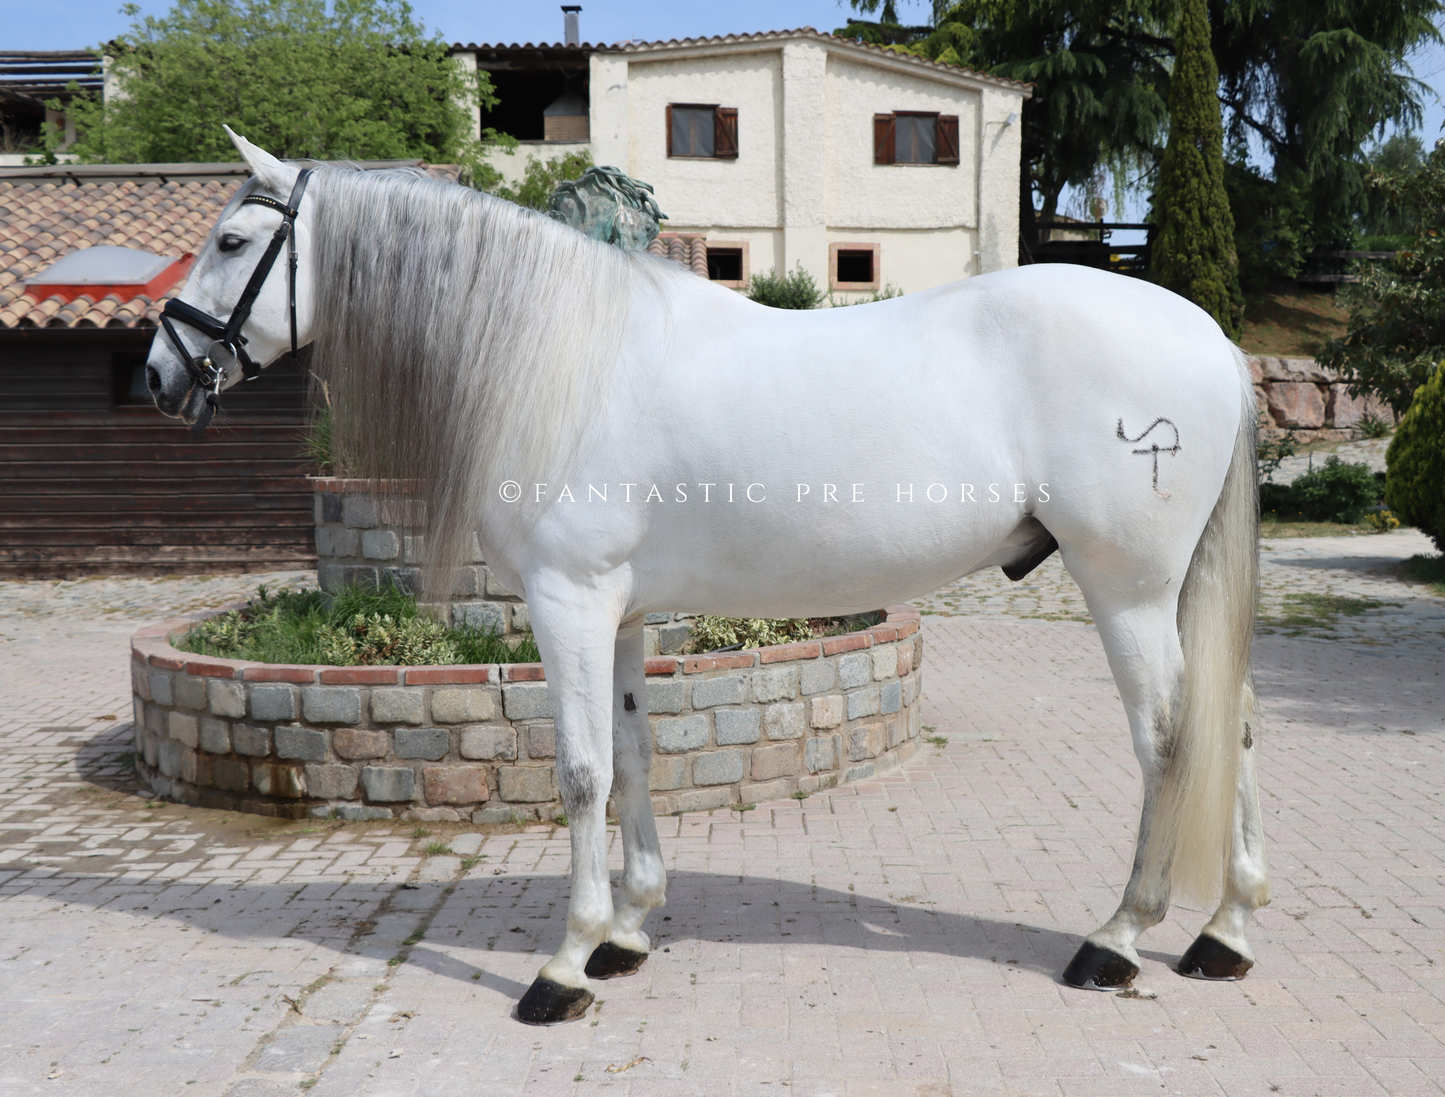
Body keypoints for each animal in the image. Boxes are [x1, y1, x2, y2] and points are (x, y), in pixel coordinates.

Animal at [145, 129, 1267, 1026]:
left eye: (233, 243)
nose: (159, 375)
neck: (561, 354)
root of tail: (1211, 338)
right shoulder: (622, 612)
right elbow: (635, 755)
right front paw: (627, 932)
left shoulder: (567, 600)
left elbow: (581, 771)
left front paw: (563, 964)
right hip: (1168, 593)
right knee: (1233, 720)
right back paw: (1224, 932)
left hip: (1124, 589)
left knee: (1170, 735)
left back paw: (1117, 938)